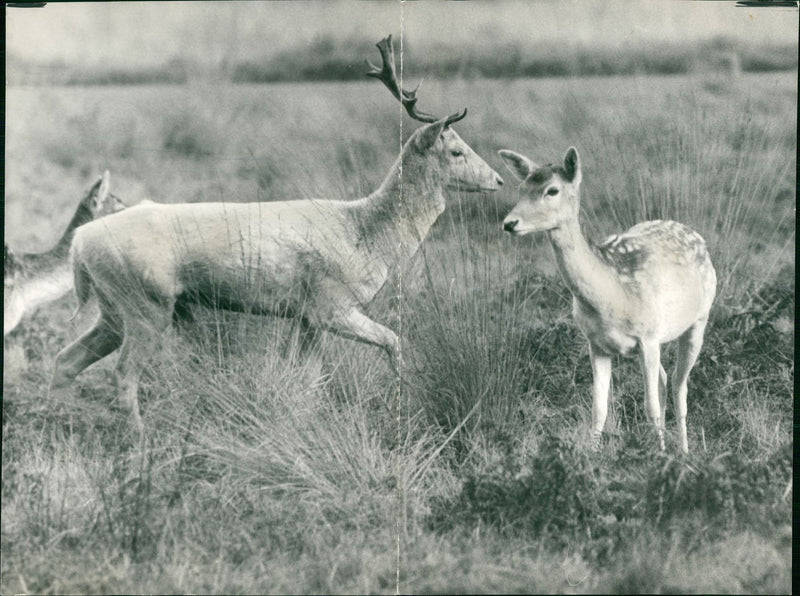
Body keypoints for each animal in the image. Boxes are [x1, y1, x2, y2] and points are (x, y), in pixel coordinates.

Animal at [48, 36, 500, 434]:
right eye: (455, 150)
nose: (497, 179)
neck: (367, 233)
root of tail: (80, 242)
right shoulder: (331, 304)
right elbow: (394, 341)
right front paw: (404, 403)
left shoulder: (305, 317)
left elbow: (310, 378)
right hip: (146, 303)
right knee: (122, 375)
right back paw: (141, 444)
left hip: (115, 308)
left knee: (65, 360)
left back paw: (55, 427)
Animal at [500, 146, 720, 452]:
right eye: (521, 188)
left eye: (552, 190)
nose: (509, 223)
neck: (611, 297)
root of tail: (697, 236)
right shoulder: (596, 343)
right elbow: (599, 409)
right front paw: (592, 456)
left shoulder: (648, 336)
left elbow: (650, 406)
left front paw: (662, 456)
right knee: (665, 381)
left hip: (699, 318)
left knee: (679, 386)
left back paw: (684, 450)